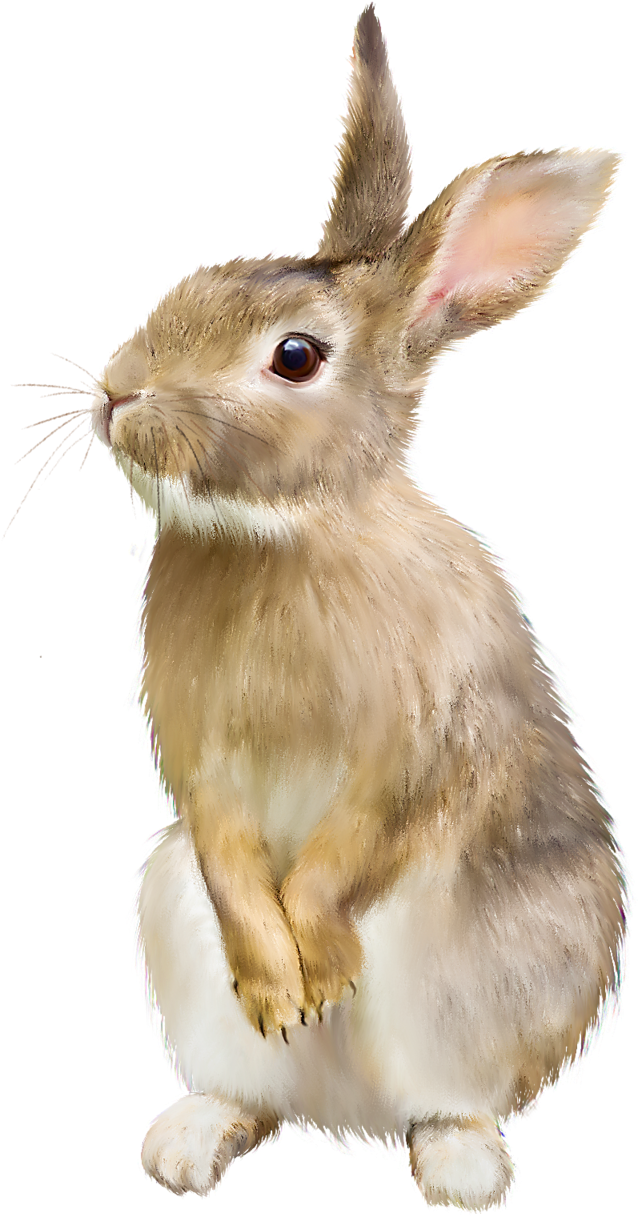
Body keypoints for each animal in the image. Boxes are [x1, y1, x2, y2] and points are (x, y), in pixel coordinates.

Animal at [9, 3, 629, 1210]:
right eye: (195, 282)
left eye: (294, 356)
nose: (114, 395)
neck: (283, 536)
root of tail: (350, 1122)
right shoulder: (200, 760)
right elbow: (229, 843)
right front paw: (283, 984)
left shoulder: (416, 731)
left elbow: (355, 839)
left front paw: (320, 961)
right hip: (170, 915)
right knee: (254, 1090)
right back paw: (193, 1139)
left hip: (496, 959)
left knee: (448, 1096)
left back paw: (457, 1168)